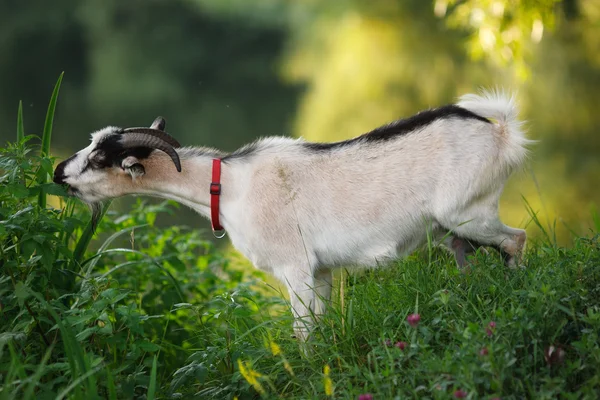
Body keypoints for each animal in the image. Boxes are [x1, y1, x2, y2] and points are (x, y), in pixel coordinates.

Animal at [52, 90, 528, 340]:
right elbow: (322, 325)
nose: (58, 172)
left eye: (99, 159)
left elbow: (302, 334)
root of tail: (500, 132)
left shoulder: (295, 266)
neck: (230, 186)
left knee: (516, 239)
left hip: (469, 213)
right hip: (454, 231)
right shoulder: (321, 271)